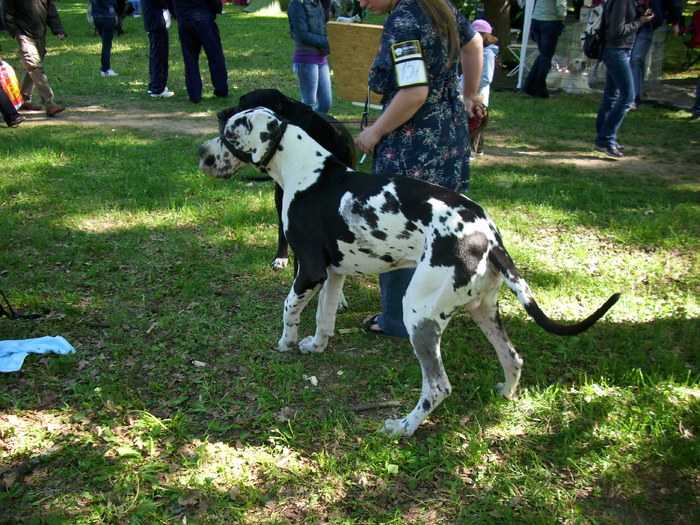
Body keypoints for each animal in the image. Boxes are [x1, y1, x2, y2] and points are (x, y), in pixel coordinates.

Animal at [200, 107, 620, 438]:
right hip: (482, 310)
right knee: (513, 358)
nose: (201, 153)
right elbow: (324, 317)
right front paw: (316, 346)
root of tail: (488, 237)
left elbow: (289, 307)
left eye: (229, 133)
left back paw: (403, 426)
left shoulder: (310, 271)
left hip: (419, 314)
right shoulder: (334, 275)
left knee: (438, 387)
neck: (306, 170)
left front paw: (286, 343)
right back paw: (506, 393)